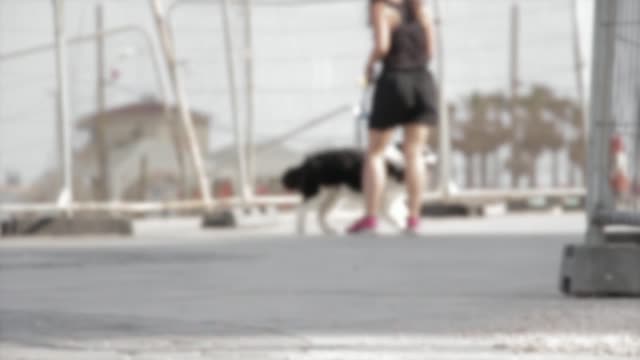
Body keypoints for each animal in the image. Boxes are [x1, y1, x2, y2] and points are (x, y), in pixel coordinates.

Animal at [282, 145, 436, 235]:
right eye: (425, 152)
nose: (436, 158)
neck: (400, 165)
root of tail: (308, 161)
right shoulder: (384, 203)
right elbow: (394, 216)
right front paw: (404, 227)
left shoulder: (393, 199)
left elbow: (402, 211)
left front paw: (409, 224)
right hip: (317, 193)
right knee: (301, 209)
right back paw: (300, 230)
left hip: (332, 196)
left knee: (320, 214)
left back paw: (329, 230)